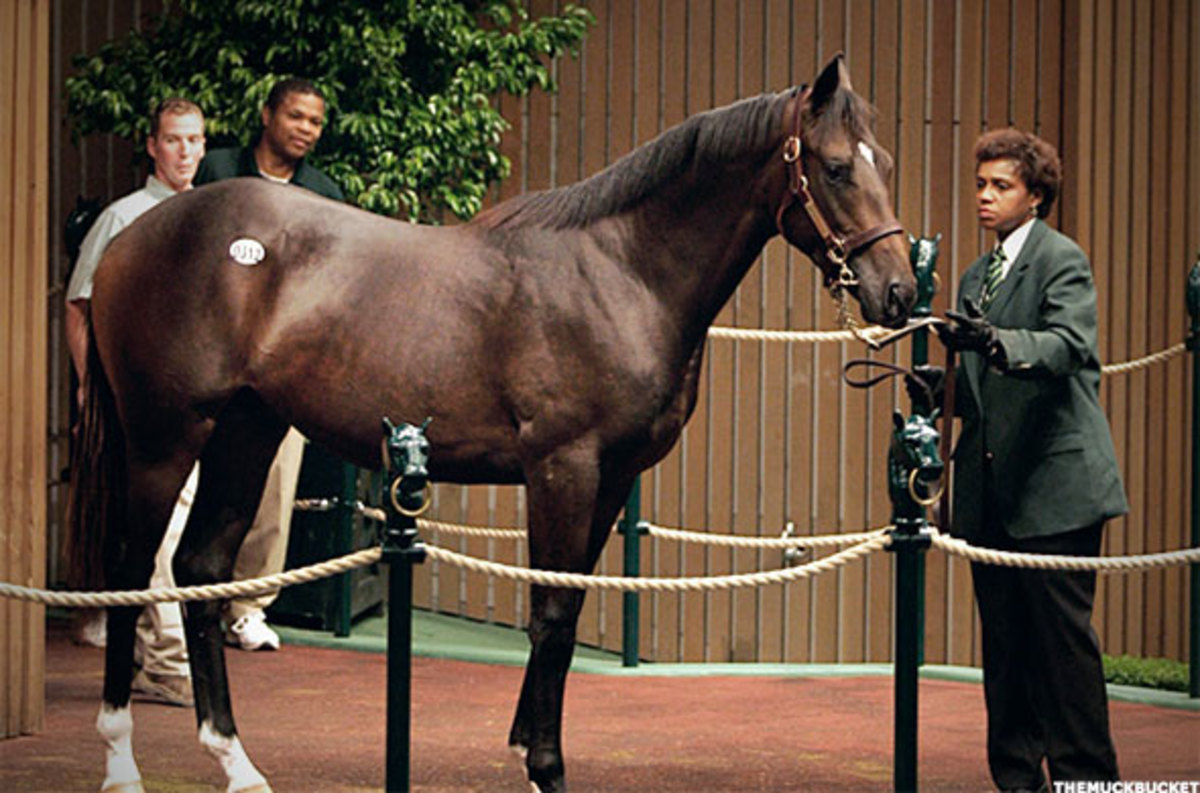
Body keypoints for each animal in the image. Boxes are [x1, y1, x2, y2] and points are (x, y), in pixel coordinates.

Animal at [70, 52, 912, 787]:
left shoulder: (611, 479)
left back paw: (236, 761)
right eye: (836, 167)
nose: (899, 291)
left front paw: (525, 748)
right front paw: (545, 766)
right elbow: (550, 613)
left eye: (886, 162)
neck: (623, 271)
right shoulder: (563, 469)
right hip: (164, 439)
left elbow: (567, 606)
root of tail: (124, 241)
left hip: (247, 431)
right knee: (130, 567)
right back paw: (118, 758)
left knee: (201, 568)